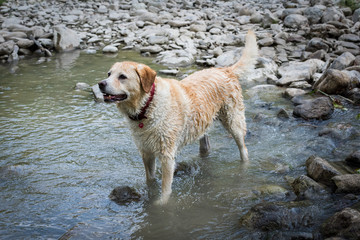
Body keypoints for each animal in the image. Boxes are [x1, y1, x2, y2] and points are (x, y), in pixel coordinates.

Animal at [97, 30, 258, 204]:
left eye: (122, 76)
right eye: (109, 74)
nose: (101, 84)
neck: (147, 106)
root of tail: (226, 70)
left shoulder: (166, 155)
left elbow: (166, 188)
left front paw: (161, 204)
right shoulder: (146, 152)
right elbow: (150, 180)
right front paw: (151, 194)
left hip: (233, 120)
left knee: (243, 148)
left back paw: (244, 165)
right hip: (202, 123)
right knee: (206, 146)